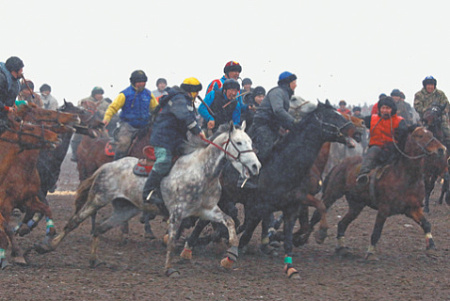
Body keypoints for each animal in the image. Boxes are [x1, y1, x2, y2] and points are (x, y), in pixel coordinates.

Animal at [312, 125, 444, 258]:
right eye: (420, 135)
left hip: (356, 205)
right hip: (332, 194)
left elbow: (426, 224)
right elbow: (376, 231)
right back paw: (316, 235)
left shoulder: (413, 209)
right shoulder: (383, 209)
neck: (405, 176)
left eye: (431, 134)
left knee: (342, 223)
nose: (441, 149)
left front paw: (431, 246)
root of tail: (340, 164)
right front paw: (371, 252)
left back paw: (341, 248)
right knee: (318, 213)